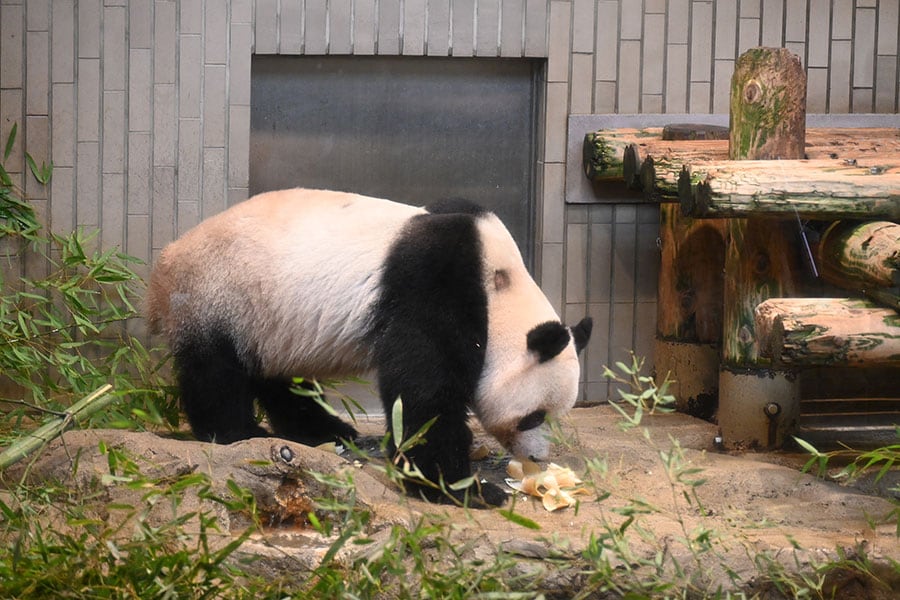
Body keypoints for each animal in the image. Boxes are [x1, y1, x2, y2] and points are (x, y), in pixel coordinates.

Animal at [148, 189, 596, 506]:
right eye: (533, 416)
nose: (538, 458)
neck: (500, 287)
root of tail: (166, 260)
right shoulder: (434, 277)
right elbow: (424, 385)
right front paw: (462, 487)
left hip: (271, 321)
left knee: (282, 379)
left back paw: (330, 431)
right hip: (219, 294)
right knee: (216, 372)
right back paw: (236, 431)